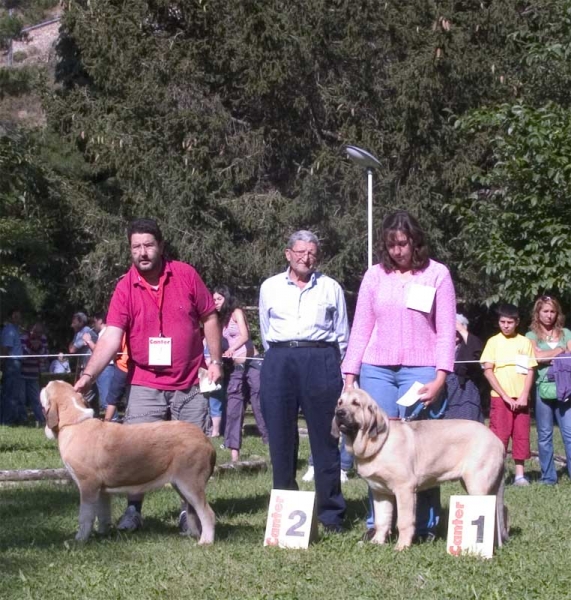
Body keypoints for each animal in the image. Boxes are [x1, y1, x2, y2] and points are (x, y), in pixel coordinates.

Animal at [41, 384, 217, 544]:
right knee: (193, 511)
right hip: (180, 485)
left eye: (48, 387)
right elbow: (103, 514)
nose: (43, 387)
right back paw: (192, 535)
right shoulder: (102, 491)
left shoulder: (87, 485)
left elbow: (85, 516)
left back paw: (205, 542)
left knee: (207, 513)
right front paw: (103, 534)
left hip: (190, 484)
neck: (74, 423)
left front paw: (79, 540)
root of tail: (206, 440)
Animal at [330, 390, 510, 548]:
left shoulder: (404, 489)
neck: (378, 444)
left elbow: (404, 521)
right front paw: (376, 542)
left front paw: (401, 546)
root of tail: (497, 441)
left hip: (477, 484)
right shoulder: (380, 492)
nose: (339, 413)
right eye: (339, 402)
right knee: (502, 509)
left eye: (356, 403)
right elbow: (382, 520)